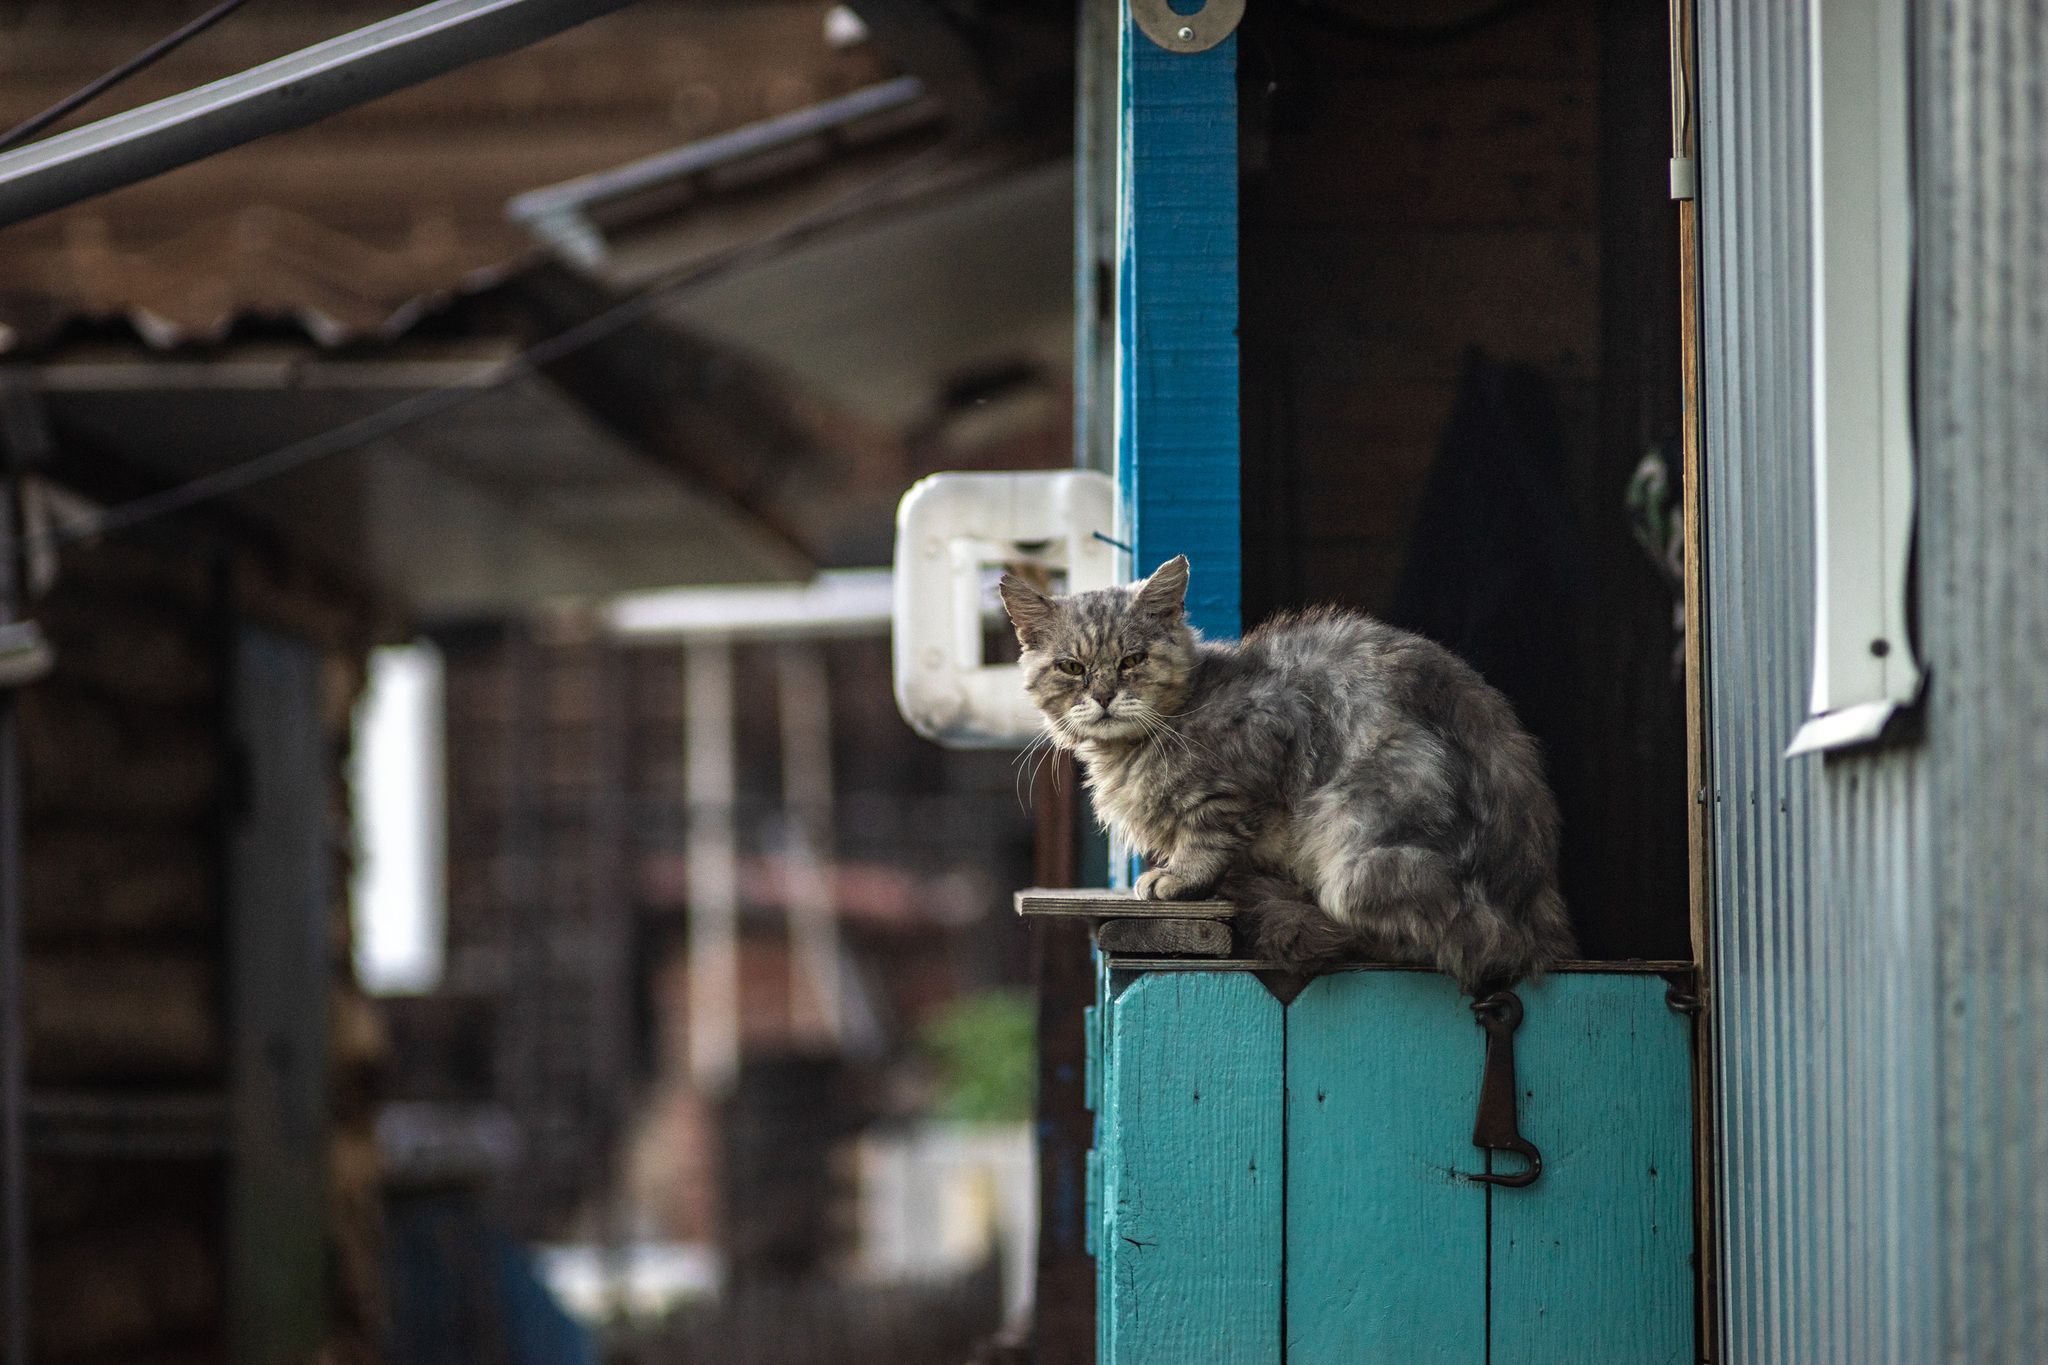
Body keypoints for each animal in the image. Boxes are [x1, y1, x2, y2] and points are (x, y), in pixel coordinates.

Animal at [999, 556, 1572, 994]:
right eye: (1072, 668)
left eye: (1132, 660)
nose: (1103, 696)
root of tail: (1531, 918)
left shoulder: (1260, 741)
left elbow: (1206, 835)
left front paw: (1178, 877)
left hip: (1358, 837)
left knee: (1412, 943)